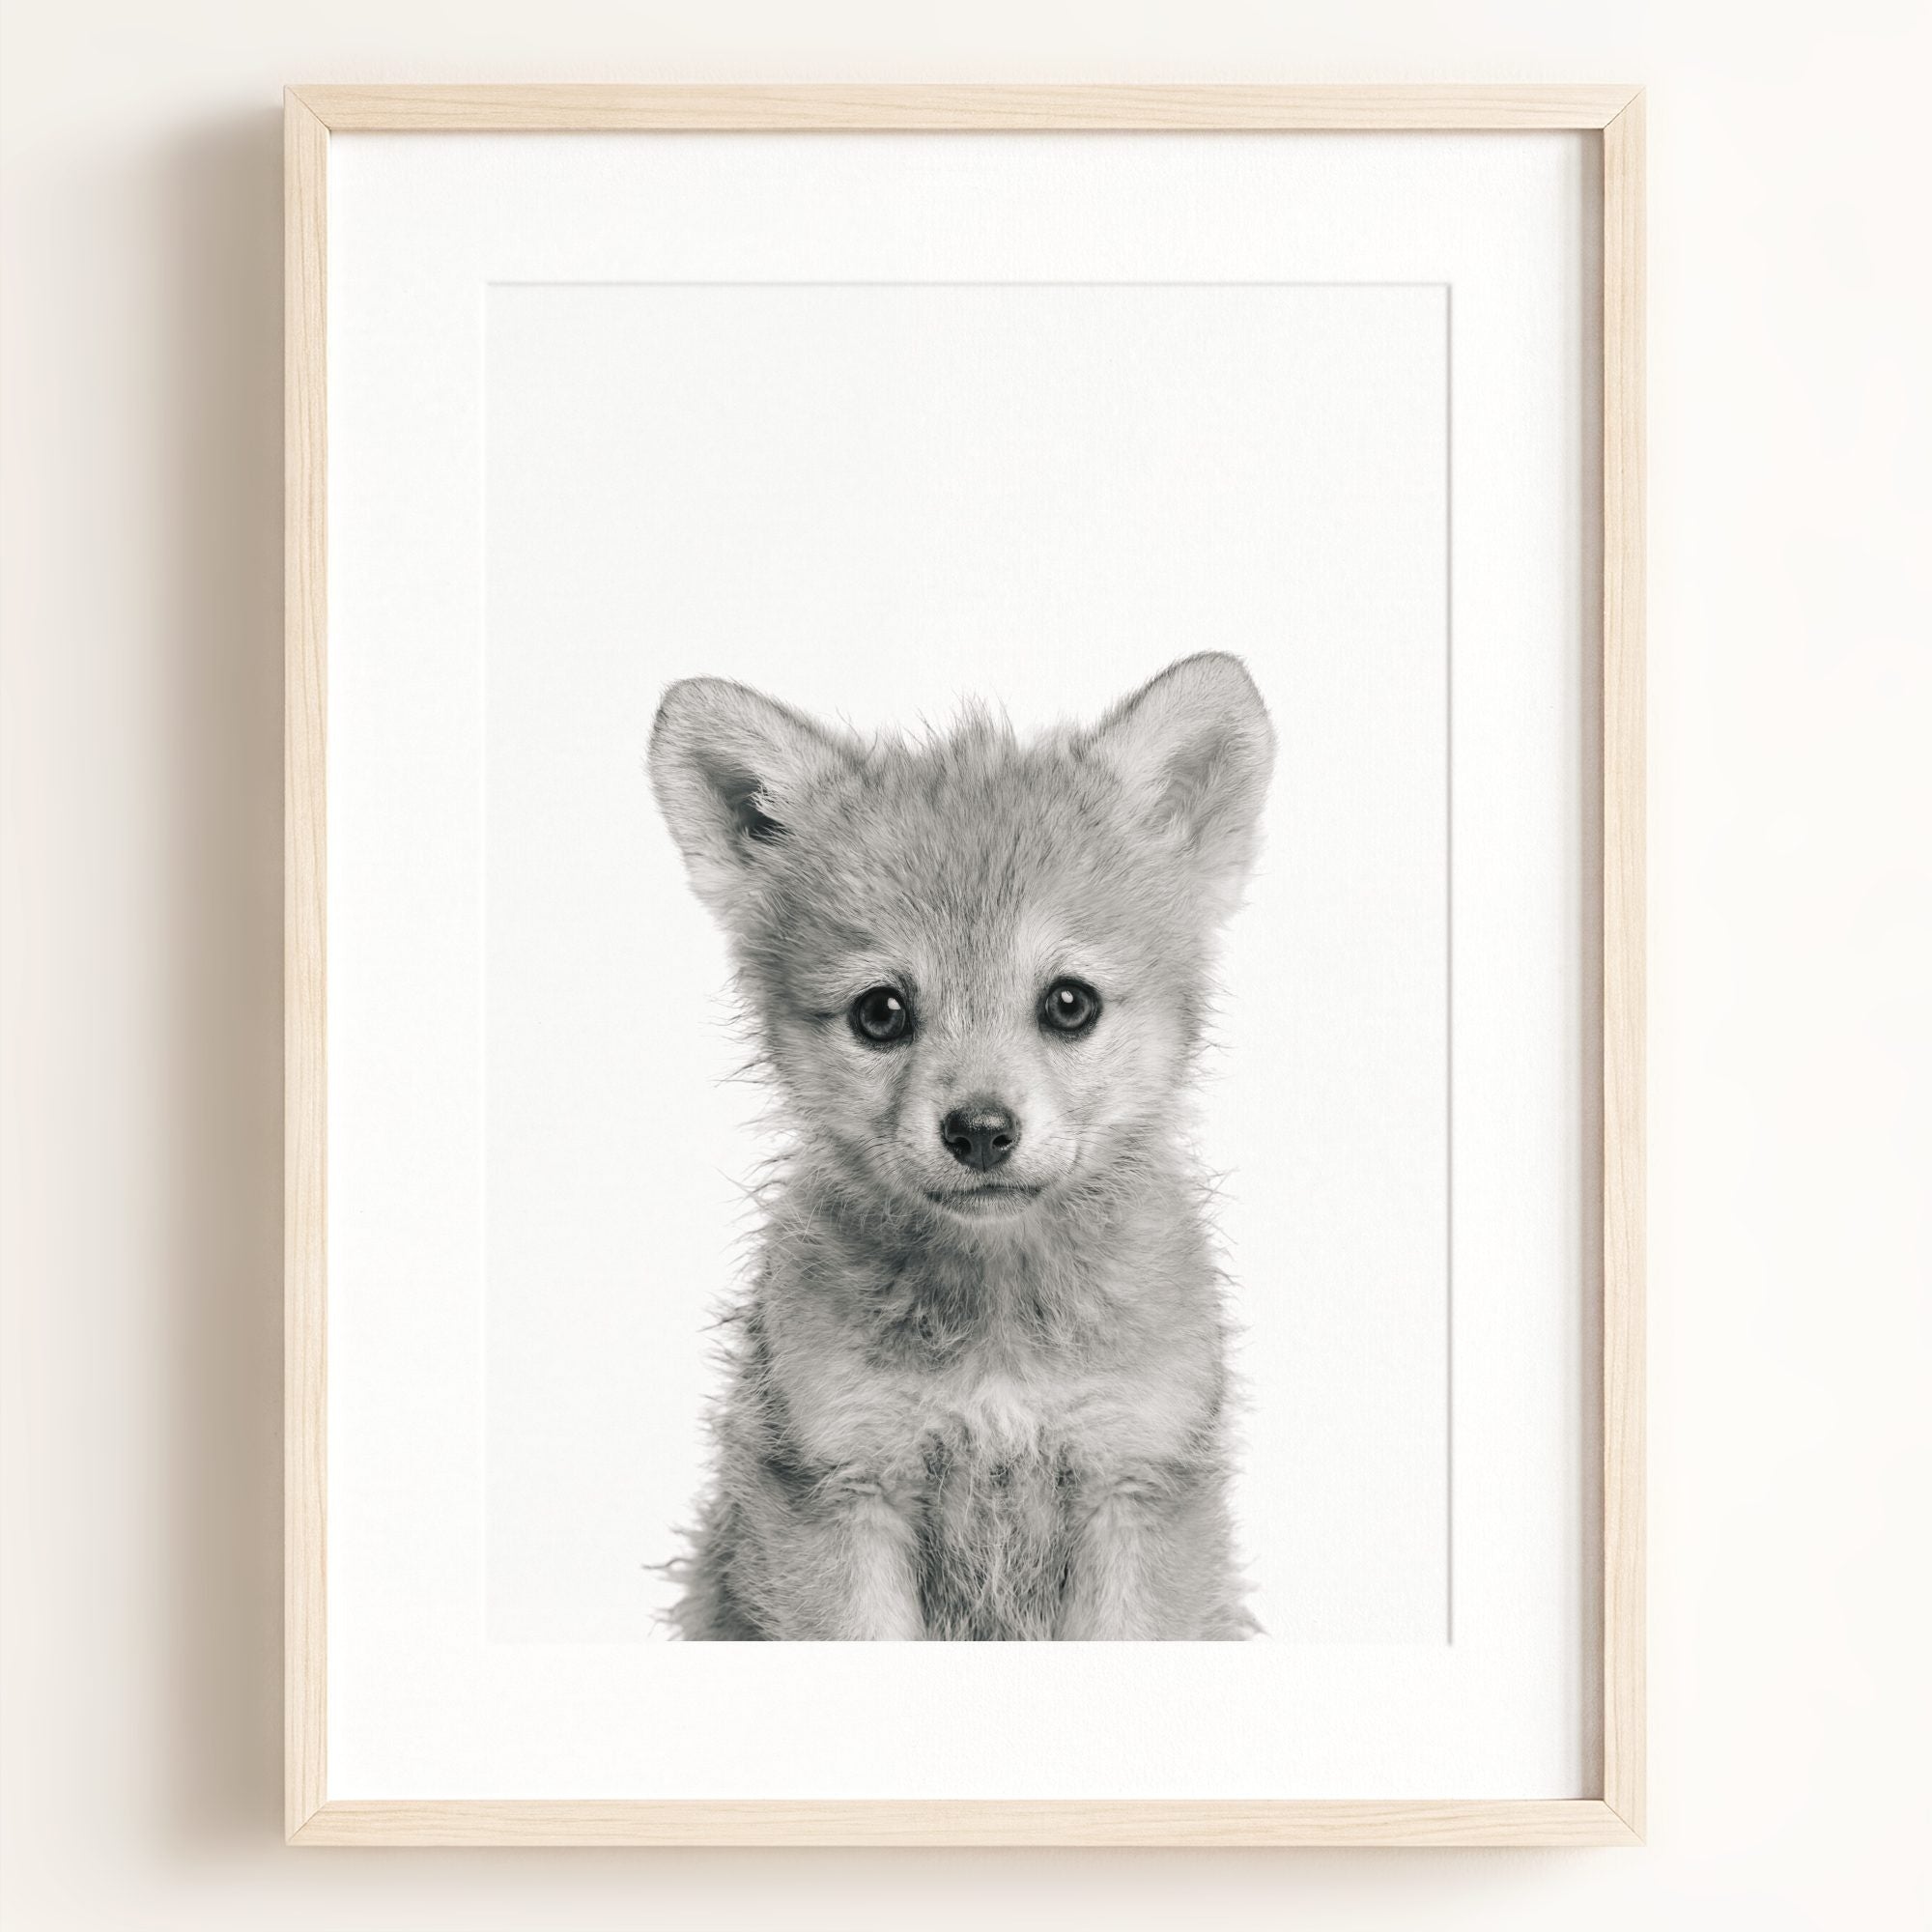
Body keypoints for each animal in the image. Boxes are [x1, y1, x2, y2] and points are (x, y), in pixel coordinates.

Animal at [647, 652, 1274, 1639]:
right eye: (880, 1012)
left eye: (1069, 1003)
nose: (980, 1132)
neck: (998, 1331)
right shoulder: (840, 1486)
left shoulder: (1134, 1482)